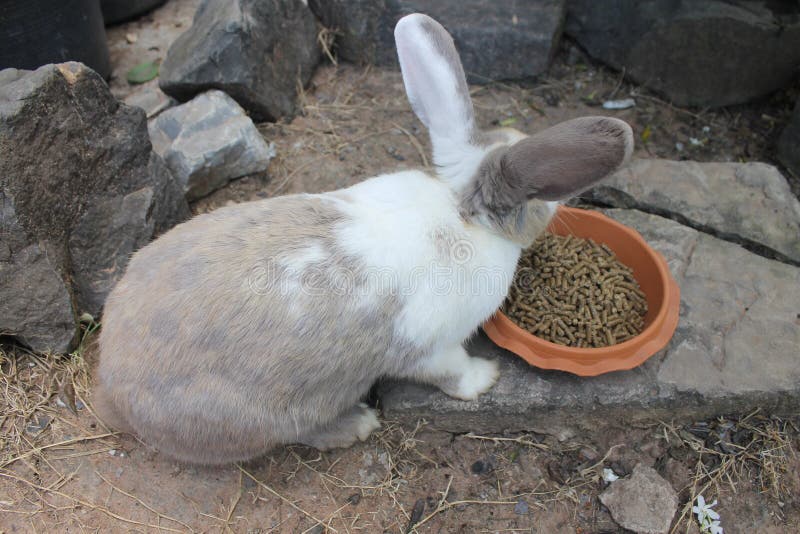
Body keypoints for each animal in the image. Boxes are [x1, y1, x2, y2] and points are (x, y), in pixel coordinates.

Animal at [93, 13, 633, 465]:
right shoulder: (433, 346)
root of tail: (112, 389)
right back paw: (357, 424)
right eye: (541, 200)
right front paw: (485, 379)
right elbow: (452, 372)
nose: (559, 209)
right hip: (267, 414)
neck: (462, 212)